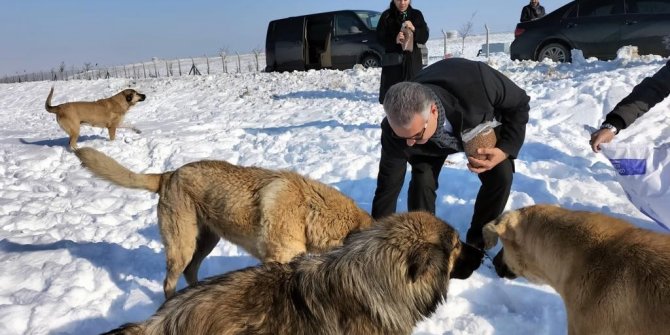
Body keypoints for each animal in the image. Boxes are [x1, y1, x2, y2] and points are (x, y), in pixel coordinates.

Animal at [76, 148, 376, 300]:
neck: (308, 210)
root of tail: (168, 175)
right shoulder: (275, 261)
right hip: (182, 246)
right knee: (168, 282)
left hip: (207, 241)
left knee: (191, 272)